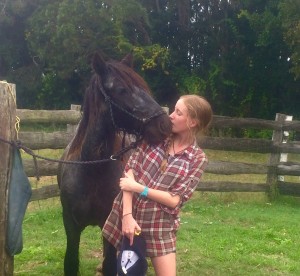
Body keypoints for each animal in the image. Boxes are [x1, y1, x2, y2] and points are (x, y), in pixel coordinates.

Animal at [57, 52, 172, 276]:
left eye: (143, 88)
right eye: (121, 90)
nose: (166, 125)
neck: (91, 169)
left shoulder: (109, 221)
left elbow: (111, 263)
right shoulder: (71, 225)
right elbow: (71, 262)